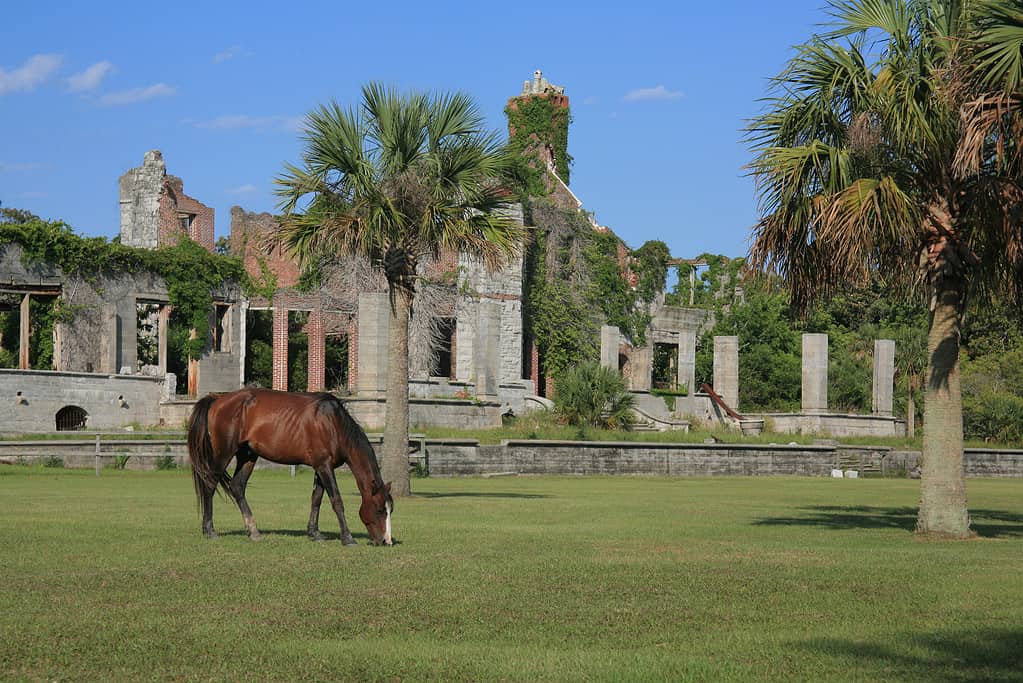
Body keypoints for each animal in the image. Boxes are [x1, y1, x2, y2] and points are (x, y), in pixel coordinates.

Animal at [186, 388, 394, 546]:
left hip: (248, 456)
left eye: (390, 510)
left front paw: (314, 533)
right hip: (223, 454)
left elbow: (316, 499)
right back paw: (209, 530)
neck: (333, 423)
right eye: (379, 510)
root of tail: (218, 399)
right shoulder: (324, 466)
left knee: (237, 487)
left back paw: (253, 531)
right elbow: (336, 500)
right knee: (210, 485)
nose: (386, 541)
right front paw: (348, 538)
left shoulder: (320, 467)